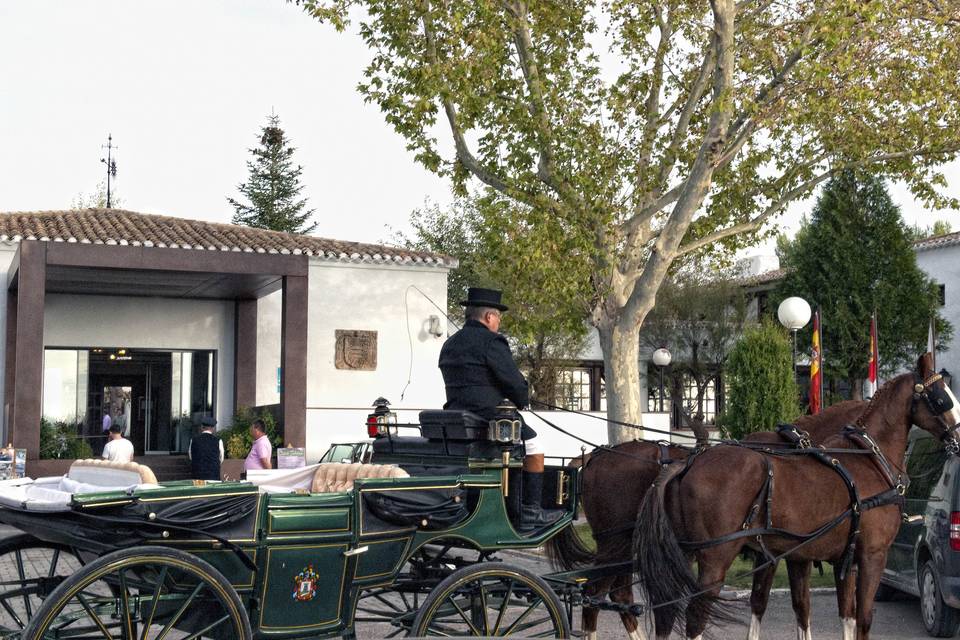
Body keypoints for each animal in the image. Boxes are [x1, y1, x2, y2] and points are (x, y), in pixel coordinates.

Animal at [544, 398, 868, 636]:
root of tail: (595, 456)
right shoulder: (773, 553)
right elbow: (768, 601)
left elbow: (783, 604)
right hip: (615, 545)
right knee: (596, 594)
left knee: (618, 596)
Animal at [636, 356, 960, 640]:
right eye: (942, 399)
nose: (958, 439)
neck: (867, 457)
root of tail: (690, 461)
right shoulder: (871, 555)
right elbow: (863, 618)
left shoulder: (826, 558)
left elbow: (832, 613)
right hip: (716, 557)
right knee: (695, 617)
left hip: (683, 554)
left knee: (667, 613)